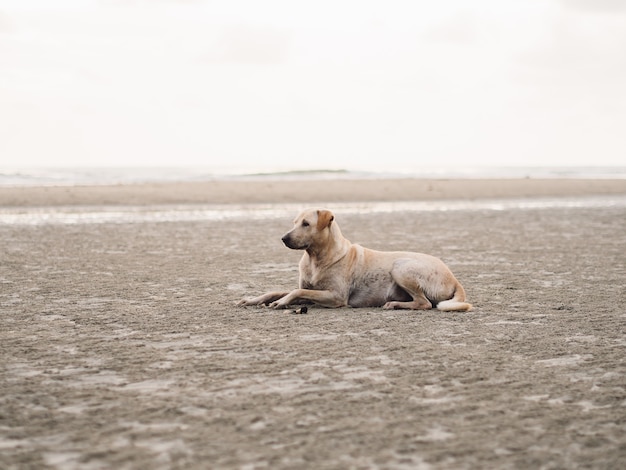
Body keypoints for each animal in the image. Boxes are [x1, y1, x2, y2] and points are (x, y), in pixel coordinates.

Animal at [236, 209, 470, 312]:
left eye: (306, 224)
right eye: (294, 222)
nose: (283, 238)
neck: (316, 259)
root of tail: (454, 279)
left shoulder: (336, 296)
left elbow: (296, 291)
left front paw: (282, 302)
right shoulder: (312, 289)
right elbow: (279, 291)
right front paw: (252, 300)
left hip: (401, 267)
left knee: (425, 303)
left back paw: (394, 304)